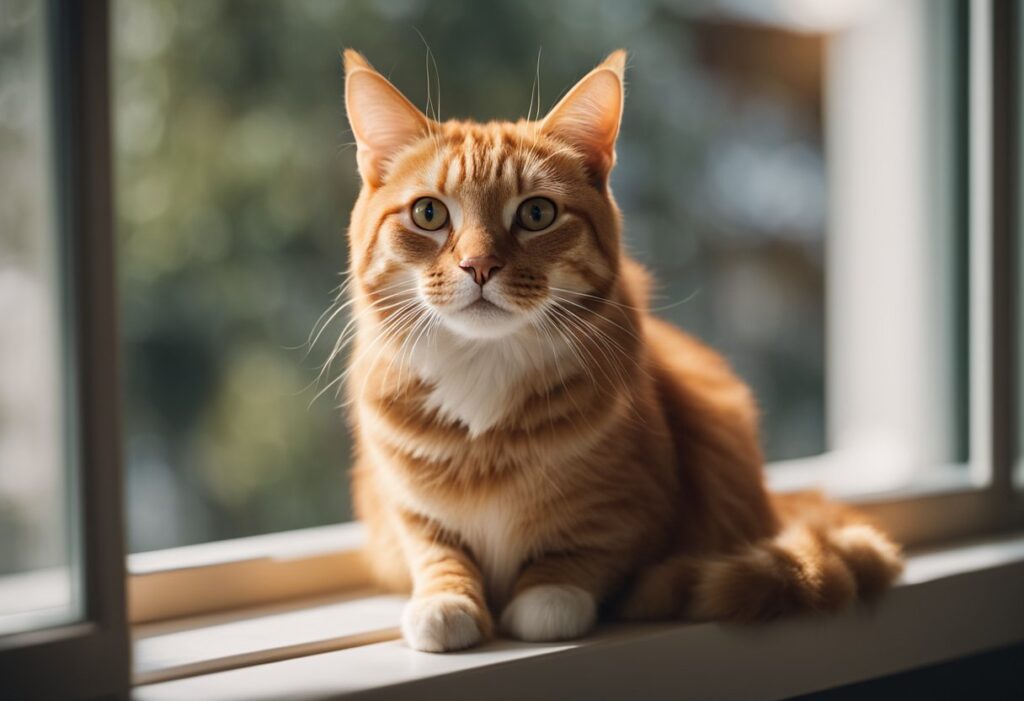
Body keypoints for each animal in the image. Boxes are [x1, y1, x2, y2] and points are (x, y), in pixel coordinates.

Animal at [339, 47, 901, 650]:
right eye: (429, 214)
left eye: (536, 213)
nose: (479, 265)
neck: (485, 369)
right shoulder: (401, 503)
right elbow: (434, 547)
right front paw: (445, 598)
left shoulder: (634, 504)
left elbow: (585, 548)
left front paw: (549, 595)